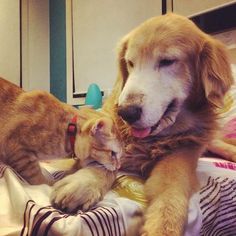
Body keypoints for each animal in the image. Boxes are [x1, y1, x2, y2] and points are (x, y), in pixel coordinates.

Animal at [103, 13, 232, 235]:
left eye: (167, 61)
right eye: (130, 63)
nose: (126, 112)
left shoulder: (180, 160)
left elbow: (169, 201)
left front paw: (161, 227)